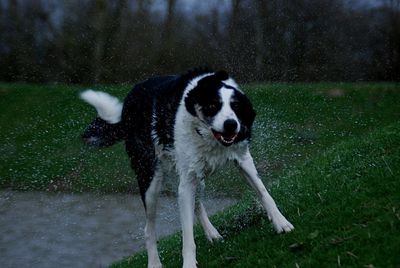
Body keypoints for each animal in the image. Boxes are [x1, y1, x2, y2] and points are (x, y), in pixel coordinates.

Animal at [80, 68, 294, 268]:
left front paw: (281, 222)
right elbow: (187, 234)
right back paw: (154, 262)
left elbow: (263, 192)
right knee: (149, 228)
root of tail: (127, 106)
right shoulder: (186, 181)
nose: (231, 124)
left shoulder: (242, 159)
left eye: (236, 107)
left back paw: (212, 233)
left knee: (197, 203)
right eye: (213, 106)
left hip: (194, 176)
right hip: (150, 178)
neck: (208, 136)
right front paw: (189, 263)